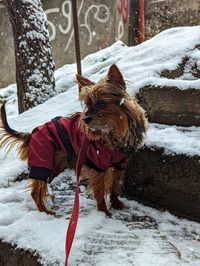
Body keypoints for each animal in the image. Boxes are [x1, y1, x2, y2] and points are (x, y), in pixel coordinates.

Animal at [0, 64, 147, 216]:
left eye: (101, 103)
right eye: (87, 104)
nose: (85, 119)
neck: (114, 131)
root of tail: (30, 135)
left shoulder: (120, 164)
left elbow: (114, 185)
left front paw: (116, 203)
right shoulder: (97, 164)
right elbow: (100, 190)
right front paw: (104, 212)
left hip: (55, 163)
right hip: (42, 161)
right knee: (35, 191)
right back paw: (45, 212)